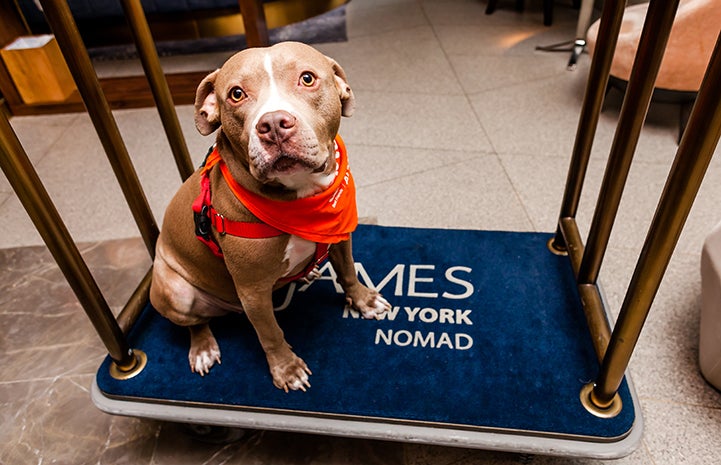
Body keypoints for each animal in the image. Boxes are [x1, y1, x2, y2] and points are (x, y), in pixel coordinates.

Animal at [148, 42, 390, 392]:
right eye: (236, 94)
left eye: (307, 78)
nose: (274, 124)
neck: (302, 195)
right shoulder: (253, 292)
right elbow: (271, 333)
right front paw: (286, 369)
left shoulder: (340, 236)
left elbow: (347, 272)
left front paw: (363, 301)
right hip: (175, 292)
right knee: (196, 323)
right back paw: (203, 348)